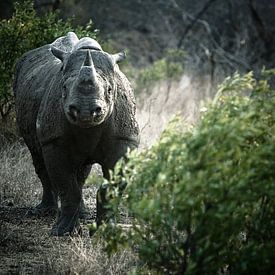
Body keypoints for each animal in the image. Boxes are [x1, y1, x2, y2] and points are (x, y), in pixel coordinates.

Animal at [13, 31, 139, 235]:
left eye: (110, 90)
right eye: (63, 88)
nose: (85, 111)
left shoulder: (124, 139)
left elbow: (110, 186)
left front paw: (107, 230)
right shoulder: (54, 140)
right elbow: (66, 186)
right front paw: (62, 232)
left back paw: (82, 213)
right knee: (38, 157)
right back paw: (43, 212)